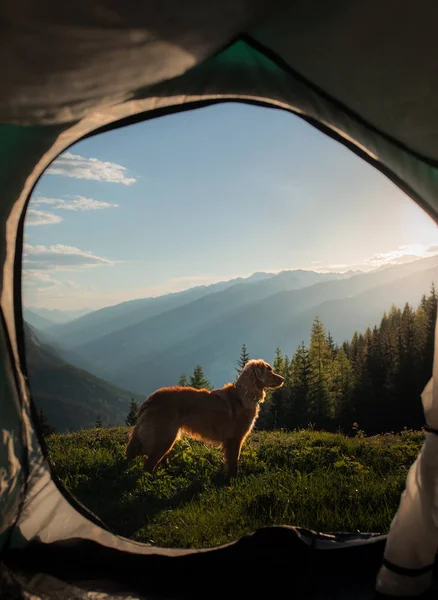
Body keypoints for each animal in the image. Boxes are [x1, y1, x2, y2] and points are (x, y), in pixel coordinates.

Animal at [125, 360, 286, 478]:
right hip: (165, 438)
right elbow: (234, 463)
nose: (283, 379)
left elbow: (228, 462)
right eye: (269, 370)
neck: (245, 394)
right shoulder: (234, 439)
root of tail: (150, 399)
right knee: (148, 465)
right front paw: (232, 481)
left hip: (165, 438)